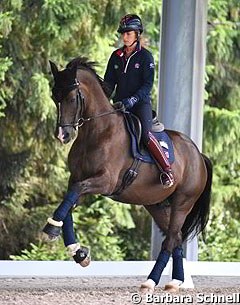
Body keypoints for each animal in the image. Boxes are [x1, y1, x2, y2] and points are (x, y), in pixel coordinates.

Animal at [42, 56, 212, 292]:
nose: (63, 135)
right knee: (175, 237)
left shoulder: (105, 182)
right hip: (156, 205)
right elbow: (68, 203)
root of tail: (198, 155)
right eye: (53, 96)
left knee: (170, 240)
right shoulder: (76, 178)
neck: (97, 132)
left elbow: (74, 194)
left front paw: (51, 229)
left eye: (73, 98)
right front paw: (78, 252)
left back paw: (150, 281)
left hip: (182, 202)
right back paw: (175, 282)